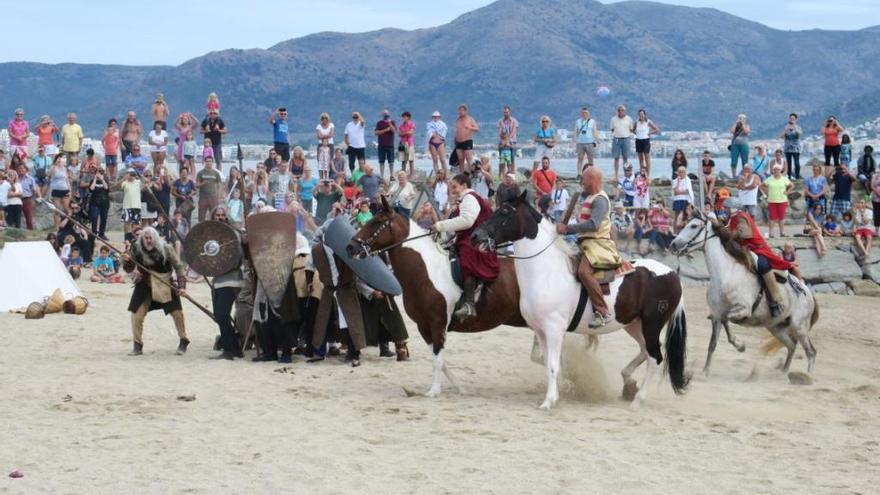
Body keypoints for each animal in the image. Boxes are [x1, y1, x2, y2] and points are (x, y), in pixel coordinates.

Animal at [346, 196, 524, 398]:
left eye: (377, 221)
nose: (350, 247)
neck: (427, 272)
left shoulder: (438, 323)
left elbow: (438, 359)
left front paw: (434, 391)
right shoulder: (424, 325)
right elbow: (439, 358)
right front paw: (459, 387)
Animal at [470, 194, 692, 410]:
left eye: (504, 212)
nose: (475, 236)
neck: (547, 272)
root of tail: (673, 274)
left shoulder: (554, 329)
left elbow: (553, 365)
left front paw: (548, 401)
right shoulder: (540, 330)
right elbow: (549, 364)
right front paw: (554, 397)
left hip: (651, 324)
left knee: (655, 358)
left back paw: (637, 401)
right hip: (634, 325)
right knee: (646, 351)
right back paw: (629, 382)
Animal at [672, 214, 820, 376]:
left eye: (693, 226)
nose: (673, 244)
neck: (726, 274)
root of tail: (808, 293)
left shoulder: (743, 309)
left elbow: (727, 319)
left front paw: (739, 345)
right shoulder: (716, 314)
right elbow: (712, 343)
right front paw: (705, 371)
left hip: (799, 327)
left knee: (811, 352)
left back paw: (807, 376)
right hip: (776, 327)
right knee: (792, 346)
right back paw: (782, 373)